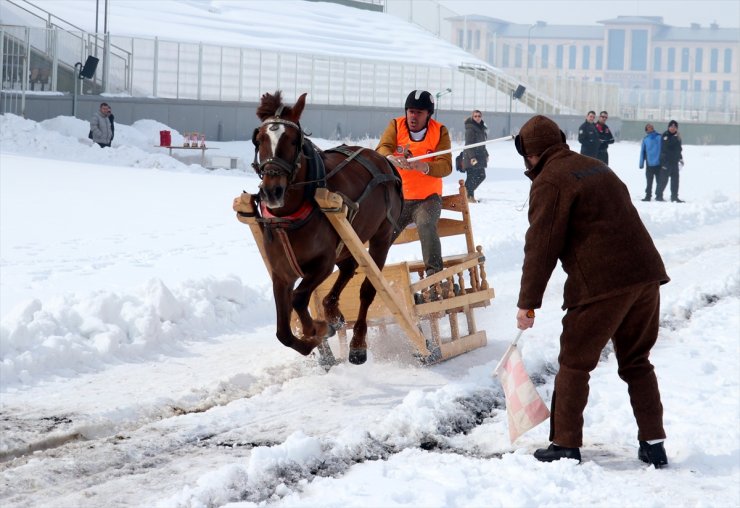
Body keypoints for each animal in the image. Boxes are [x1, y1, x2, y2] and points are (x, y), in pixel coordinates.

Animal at [250, 92, 402, 366]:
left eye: (293, 140)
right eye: (259, 138)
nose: (272, 191)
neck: (289, 216)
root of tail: (384, 161)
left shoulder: (322, 264)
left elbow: (299, 297)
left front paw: (318, 328)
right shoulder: (281, 272)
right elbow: (283, 333)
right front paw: (316, 338)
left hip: (381, 238)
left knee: (367, 289)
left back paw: (357, 344)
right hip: (348, 241)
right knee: (348, 268)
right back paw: (333, 312)